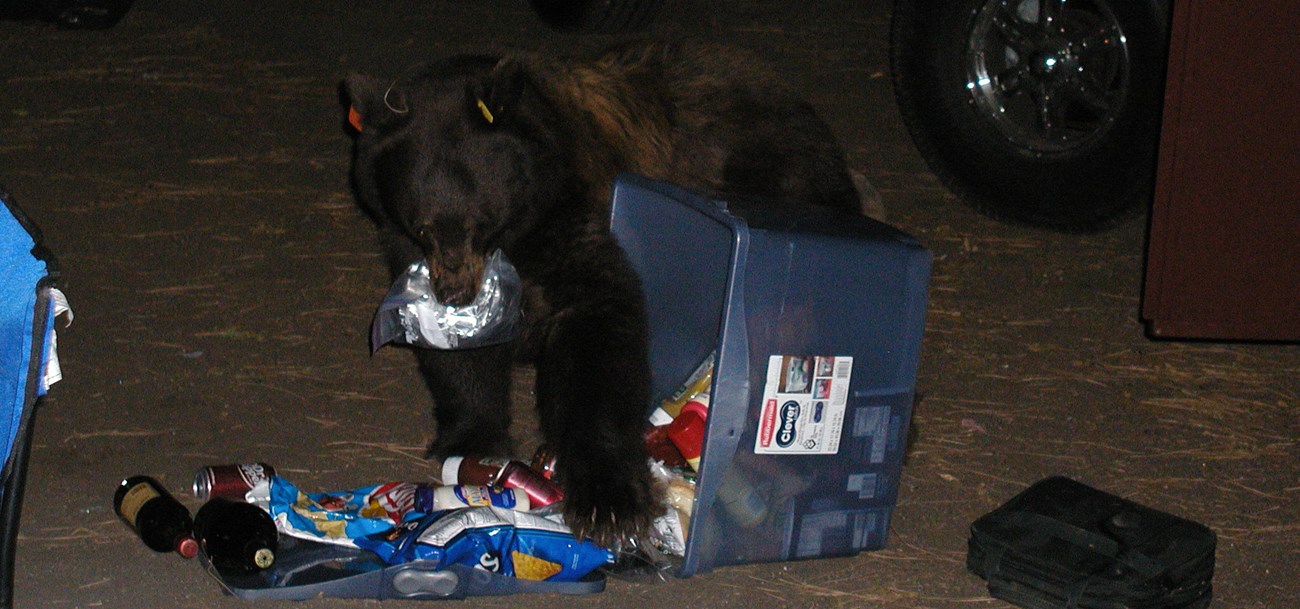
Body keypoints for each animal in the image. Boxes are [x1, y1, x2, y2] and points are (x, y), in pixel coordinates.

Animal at [345, 40, 868, 543]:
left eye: (482, 221)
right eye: (423, 225)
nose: (456, 293)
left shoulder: (571, 218)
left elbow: (597, 338)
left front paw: (609, 499)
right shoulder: (406, 246)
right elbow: (458, 356)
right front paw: (472, 443)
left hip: (781, 177)